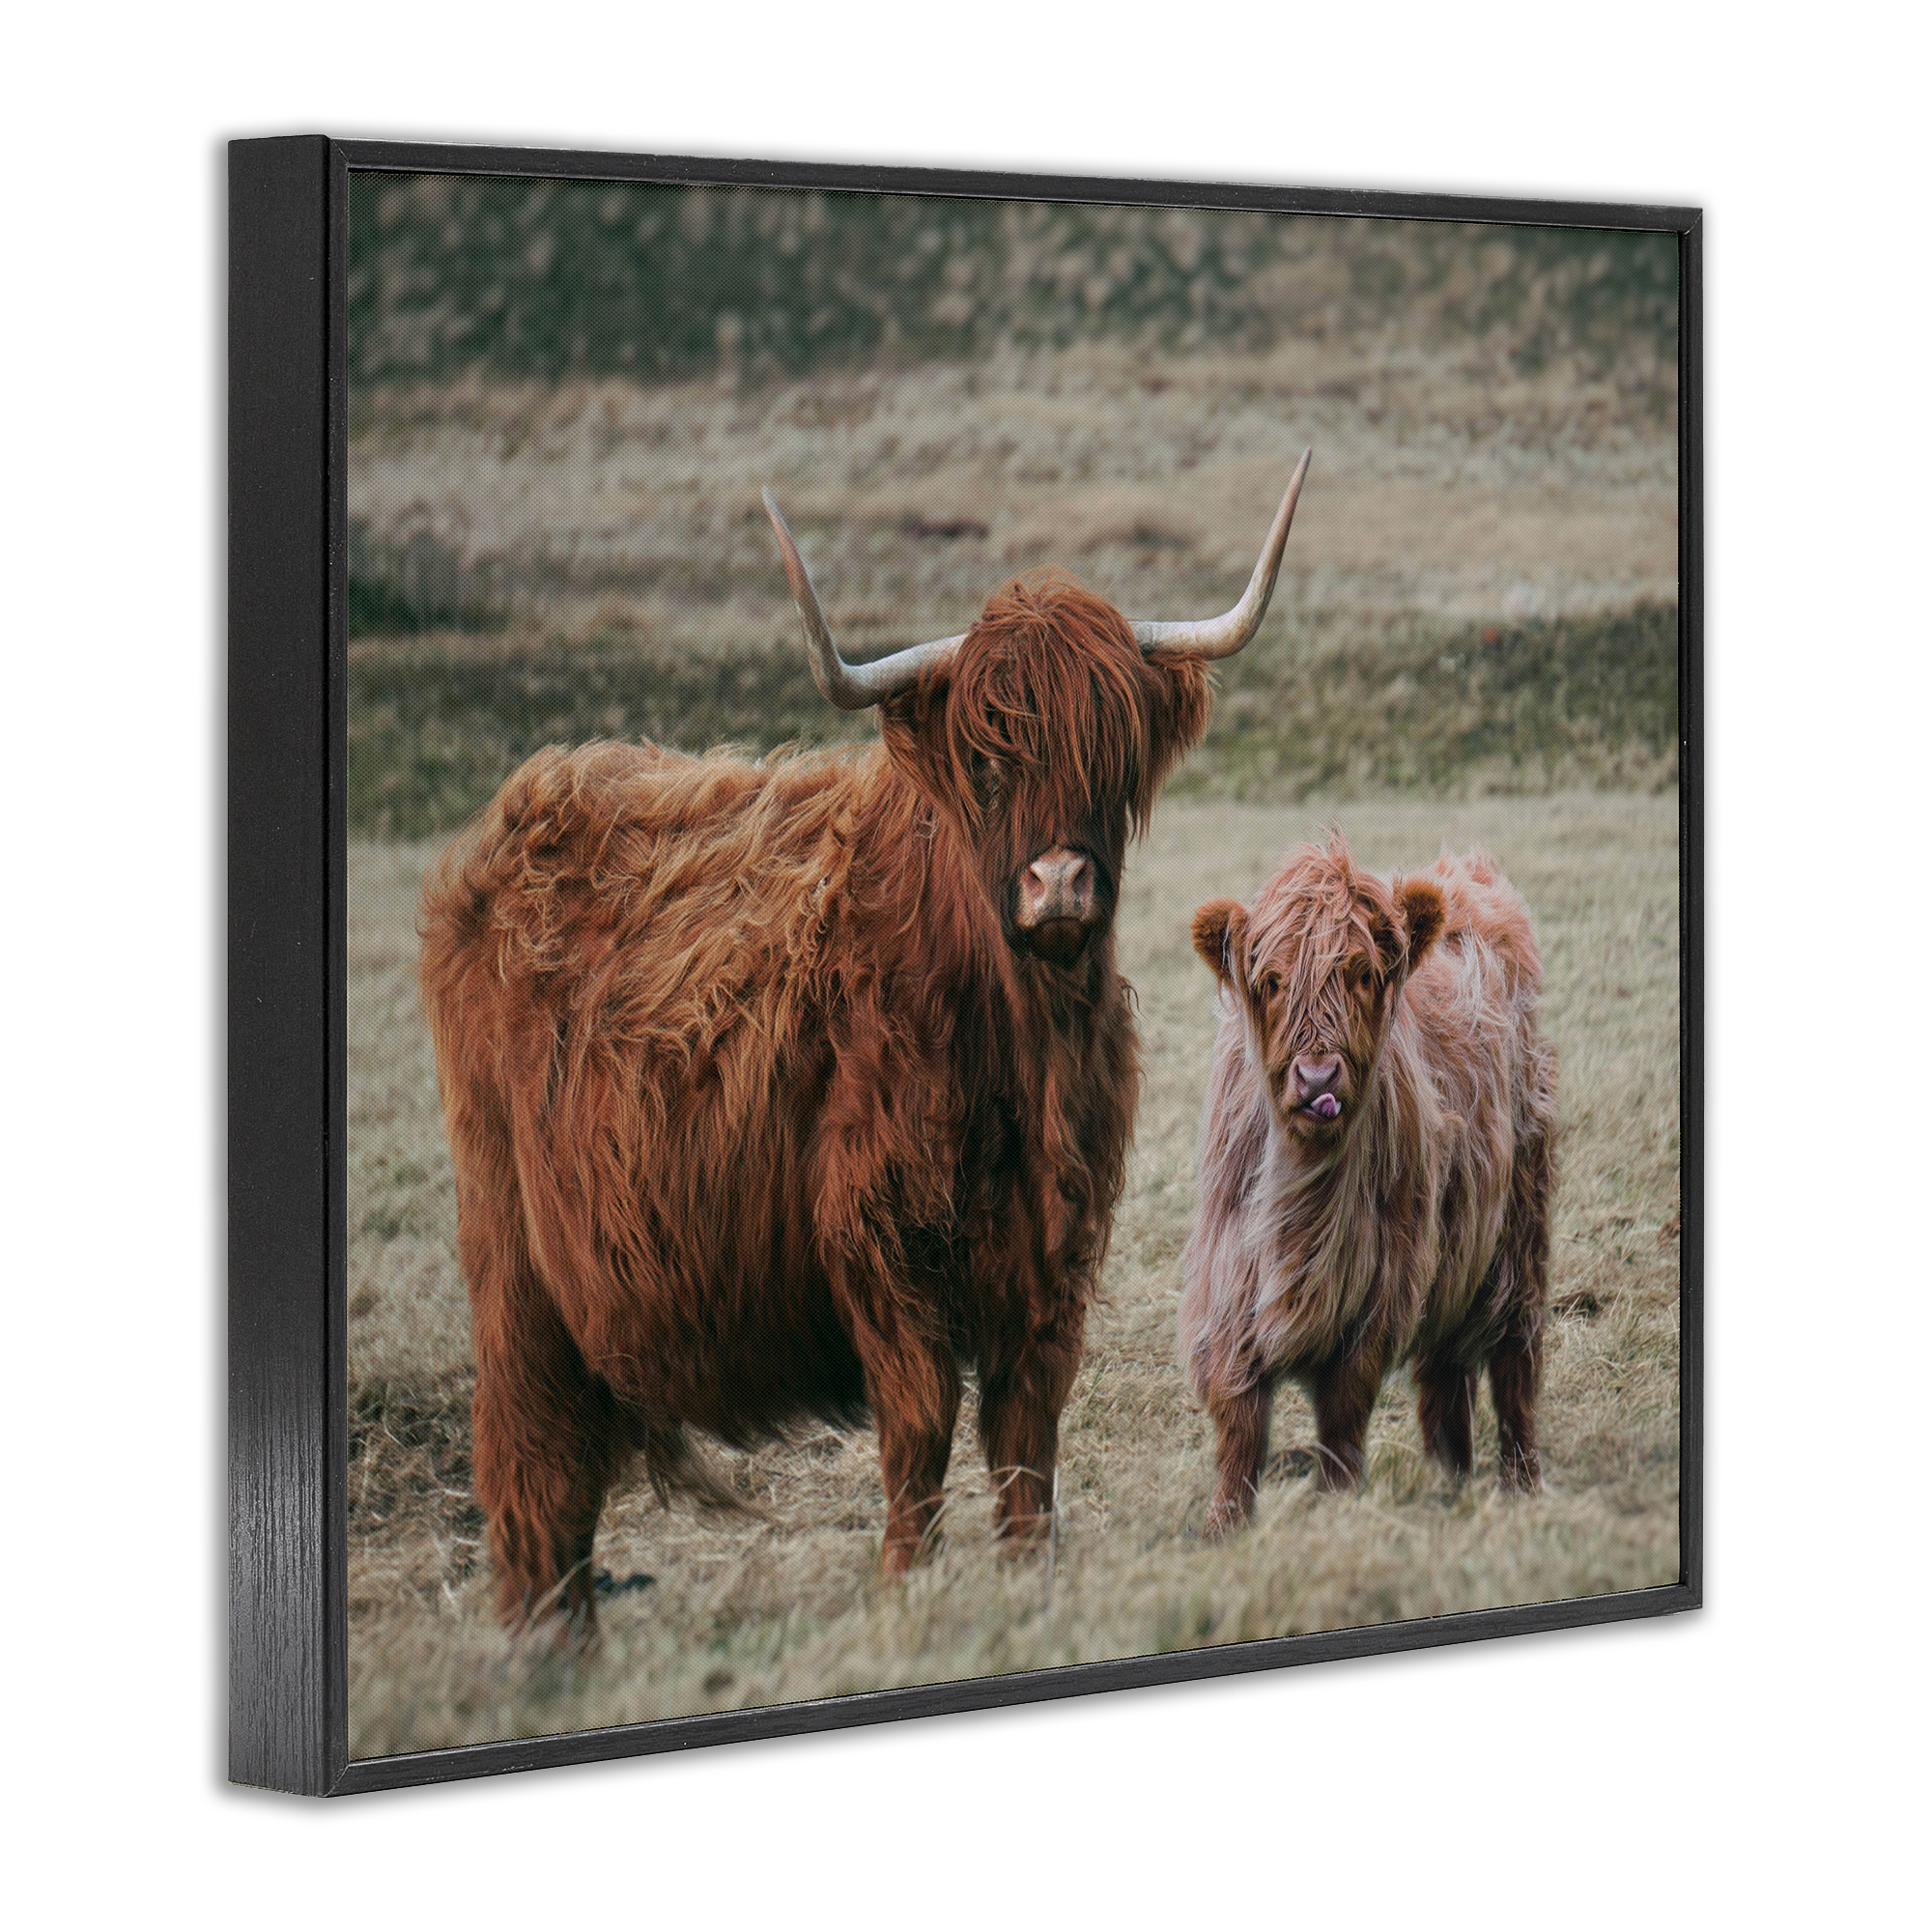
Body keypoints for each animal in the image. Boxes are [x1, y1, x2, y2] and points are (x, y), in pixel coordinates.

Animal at [419, 452, 1314, 1640]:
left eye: (1111, 752)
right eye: (985, 759)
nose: (1059, 884)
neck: (1016, 1048)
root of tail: (522, 809)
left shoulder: (1054, 1250)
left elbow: (1026, 1432)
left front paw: (1027, 1575)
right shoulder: (881, 1238)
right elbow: (920, 1423)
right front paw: (902, 1585)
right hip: (512, 1249)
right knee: (530, 1452)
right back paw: (545, 1643)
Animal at [1177, 834, 1557, 1535]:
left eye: (1361, 973)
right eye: (1272, 981)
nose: (1317, 1078)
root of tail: (1464, 871)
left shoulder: (1379, 1289)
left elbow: (1343, 1414)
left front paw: (1336, 1505)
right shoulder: (1229, 1281)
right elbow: (1239, 1421)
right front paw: (1224, 1526)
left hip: (1520, 1220)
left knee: (1515, 1358)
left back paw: (1521, 1485)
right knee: (1446, 1373)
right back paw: (1449, 1482)